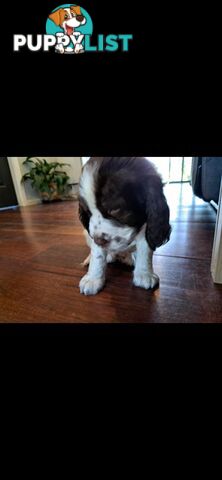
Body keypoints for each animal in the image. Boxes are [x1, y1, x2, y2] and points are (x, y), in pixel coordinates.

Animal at [78, 157, 172, 296]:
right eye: (88, 213)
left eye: (115, 210)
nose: (99, 241)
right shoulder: (92, 234)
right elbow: (97, 255)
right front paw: (93, 279)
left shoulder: (147, 227)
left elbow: (145, 250)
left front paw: (144, 274)